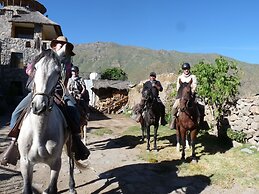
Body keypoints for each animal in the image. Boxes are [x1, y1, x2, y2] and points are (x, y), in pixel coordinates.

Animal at [17, 45, 76, 192]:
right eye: (35, 67)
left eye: (58, 72)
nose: (39, 107)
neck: (39, 132)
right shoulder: (25, 164)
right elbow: (27, 189)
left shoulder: (56, 163)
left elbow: (53, 188)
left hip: (70, 143)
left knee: (71, 161)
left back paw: (72, 186)